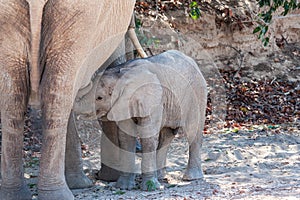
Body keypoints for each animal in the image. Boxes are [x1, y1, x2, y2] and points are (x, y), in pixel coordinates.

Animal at [95, 50, 207, 191]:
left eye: (99, 98)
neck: (120, 73)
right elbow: (126, 138)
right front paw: (123, 187)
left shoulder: (153, 101)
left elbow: (147, 136)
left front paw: (150, 187)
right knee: (168, 134)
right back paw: (160, 177)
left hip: (196, 92)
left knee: (193, 130)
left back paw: (191, 178)